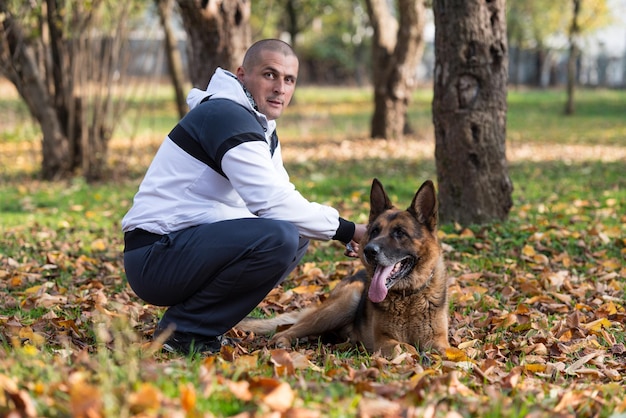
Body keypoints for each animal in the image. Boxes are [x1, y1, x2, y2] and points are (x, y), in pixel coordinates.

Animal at [238, 180, 448, 356]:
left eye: (400, 233)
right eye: (375, 231)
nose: (369, 250)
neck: (408, 297)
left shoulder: (439, 341)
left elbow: (444, 351)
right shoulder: (383, 341)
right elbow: (404, 347)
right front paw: (415, 354)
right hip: (344, 303)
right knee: (288, 330)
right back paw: (283, 341)